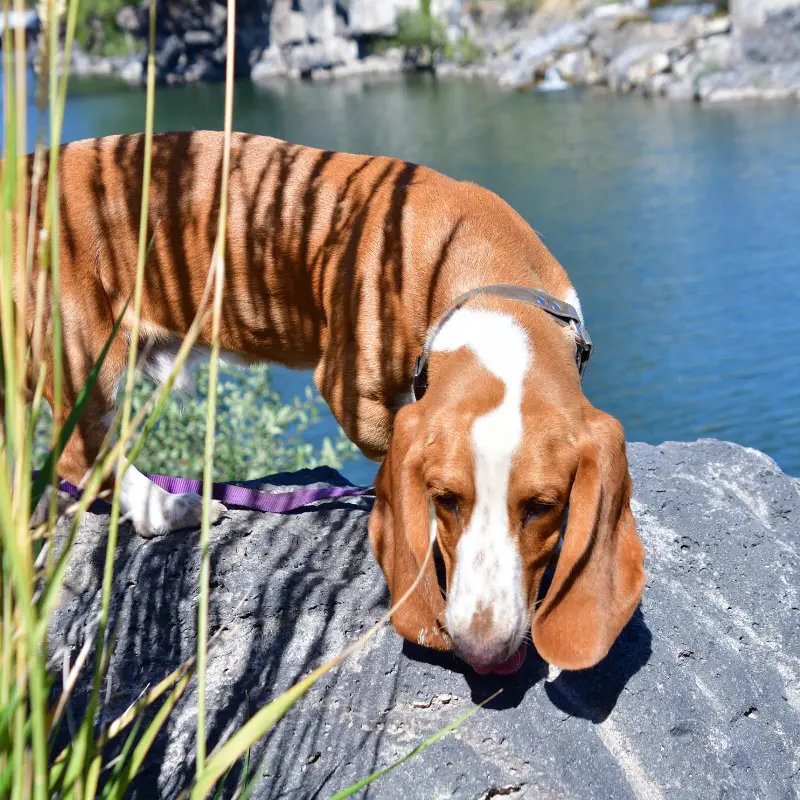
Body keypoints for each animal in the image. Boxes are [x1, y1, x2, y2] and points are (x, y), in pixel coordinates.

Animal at [15, 131, 648, 676]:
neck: (486, 278)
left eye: (543, 507)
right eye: (444, 499)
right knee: (81, 454)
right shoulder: (352, 391)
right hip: (85, 350)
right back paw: (167, 506)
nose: (481, 649)